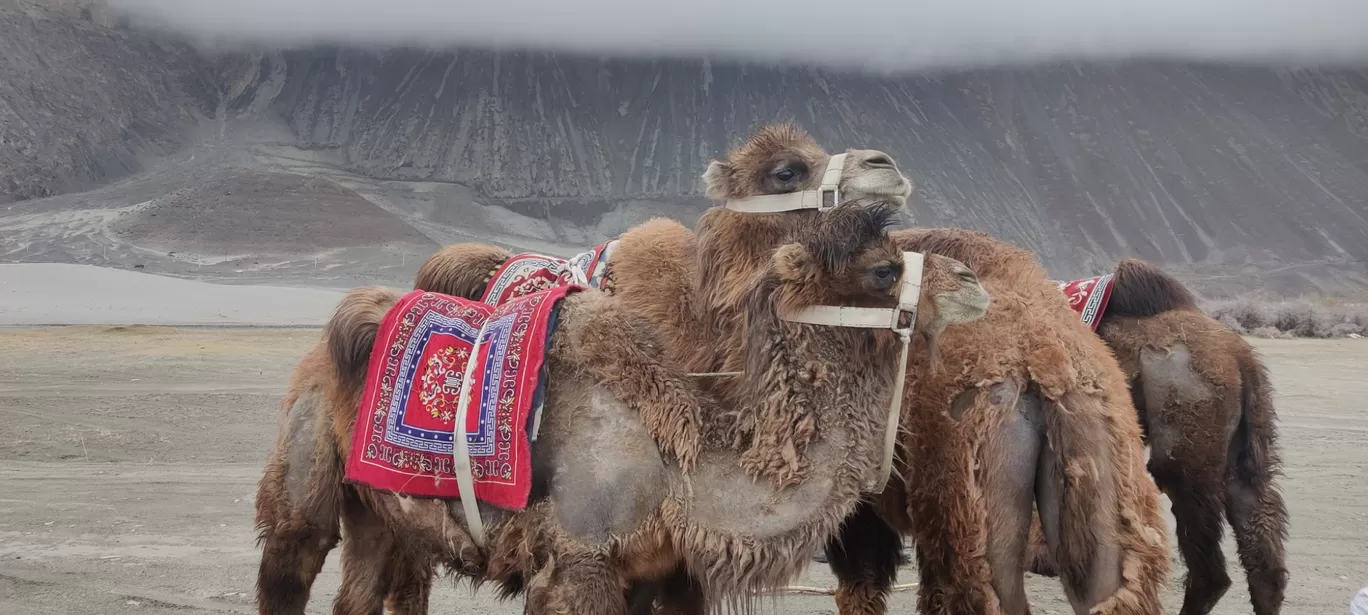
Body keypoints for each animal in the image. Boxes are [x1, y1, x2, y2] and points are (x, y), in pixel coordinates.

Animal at [251, 203, 990, 615]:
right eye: (883, 269)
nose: (974, 281)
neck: (677, 457)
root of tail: (329, 338)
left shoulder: (644, 572)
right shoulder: (575, 563)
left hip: (380, 512)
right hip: (304, 457)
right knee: (292, 560)